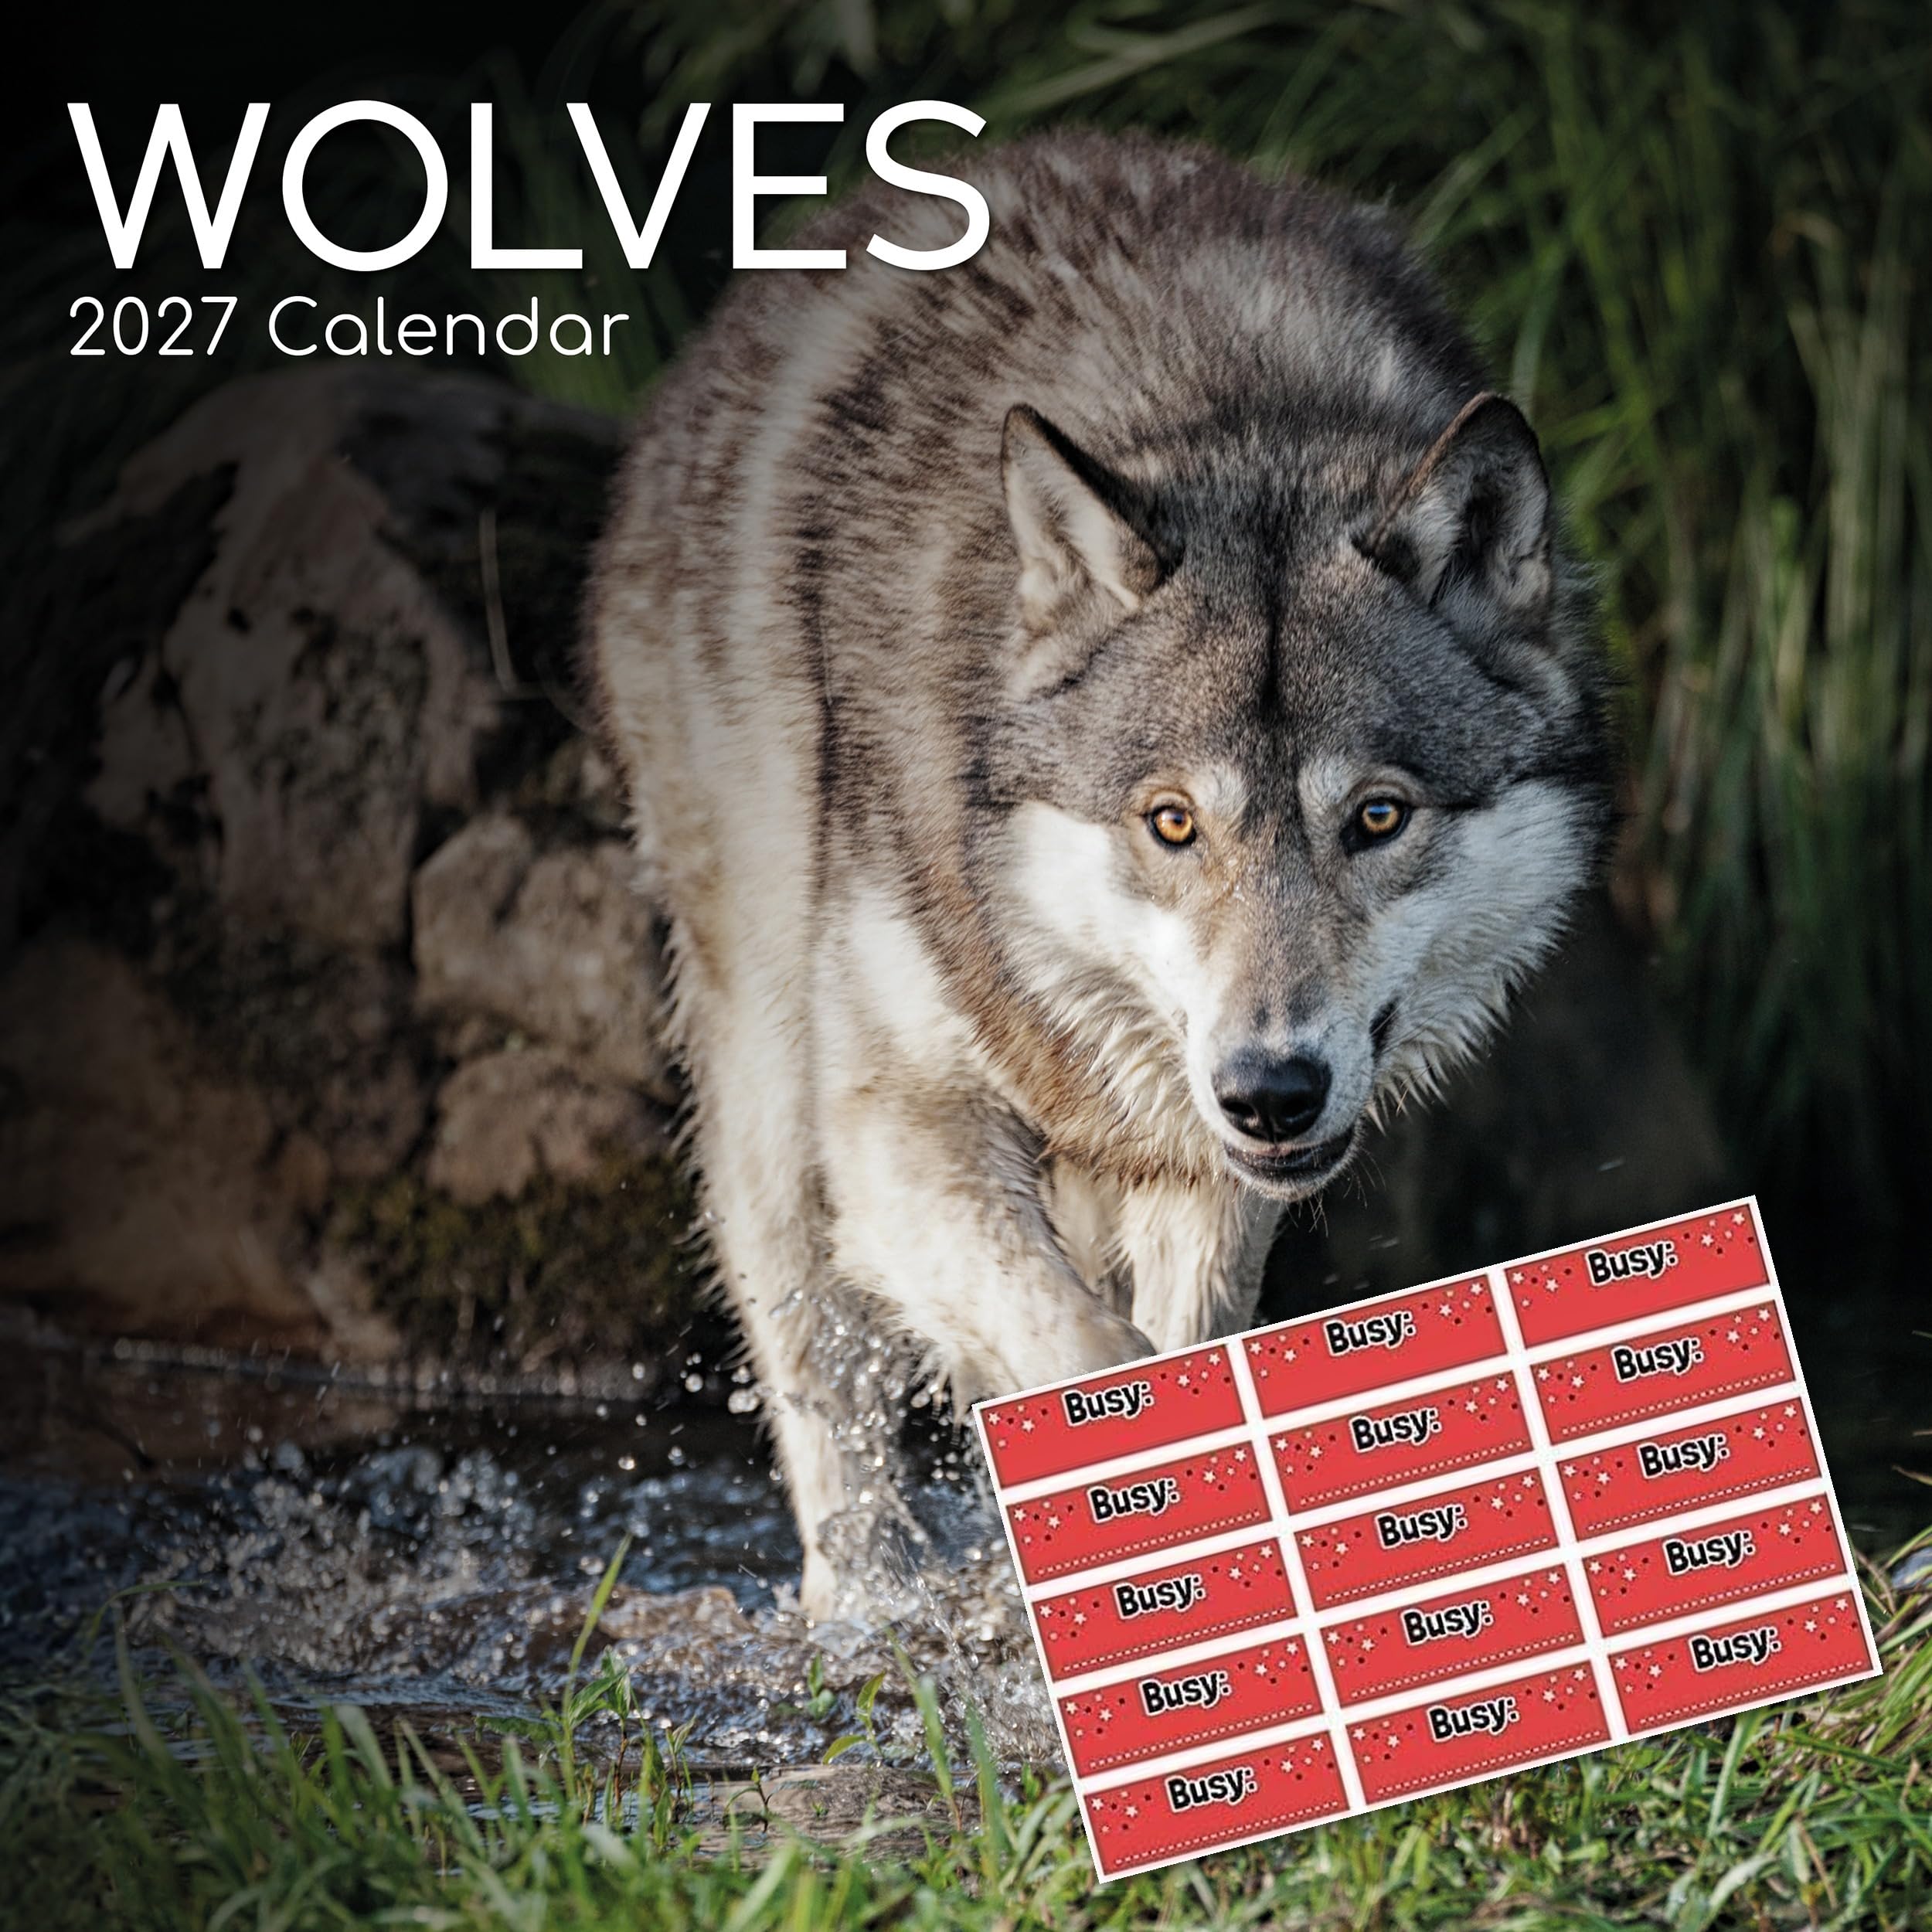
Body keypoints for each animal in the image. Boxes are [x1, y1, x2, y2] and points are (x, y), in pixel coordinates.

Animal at [589, 132, 1612, 1616]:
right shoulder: (894, 1122)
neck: (1229, 406)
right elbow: (1088, 1361)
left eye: (1376, 817)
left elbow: (1171, 1348)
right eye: (1171, 823)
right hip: (773, 1078)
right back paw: (865, 1605)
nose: (1272, 1089)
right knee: (818, 1350)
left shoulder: (1207, 1168)